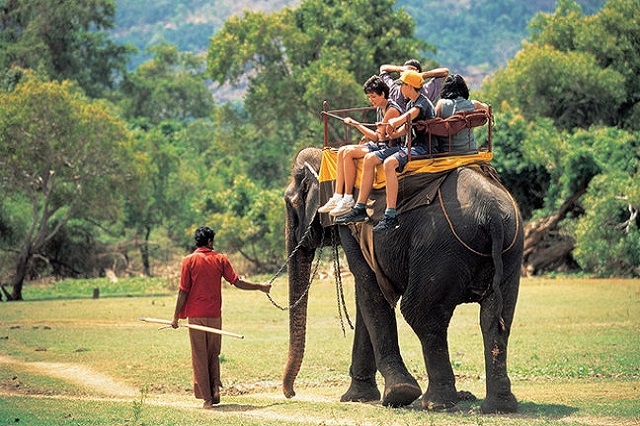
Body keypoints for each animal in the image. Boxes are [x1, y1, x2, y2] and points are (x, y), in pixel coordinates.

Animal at [284, 146, 524, 412]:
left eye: (290, 203)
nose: (291, 394)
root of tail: (491, 215)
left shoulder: (350, 225)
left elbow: (370, 290)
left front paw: (398, 394)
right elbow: (366, 295)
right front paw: (357, 397)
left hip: (438, 250)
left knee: (421, 314)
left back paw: (435, 403)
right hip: (511, 245)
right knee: (495, 319)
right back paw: (499, 407)